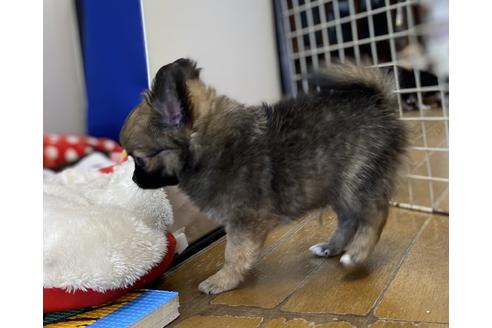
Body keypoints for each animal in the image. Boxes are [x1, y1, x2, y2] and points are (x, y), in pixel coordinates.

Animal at [119, 58, 408, 294]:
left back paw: (357, 254)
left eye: (139, 159)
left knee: (375, 215)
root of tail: (378, 102)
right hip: (336, 187)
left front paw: (221, 281)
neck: (211, 146)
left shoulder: (244, 221)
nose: (133, 179)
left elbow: (233, 254)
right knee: (349, 219)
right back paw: (331, 247)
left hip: (356, 182)